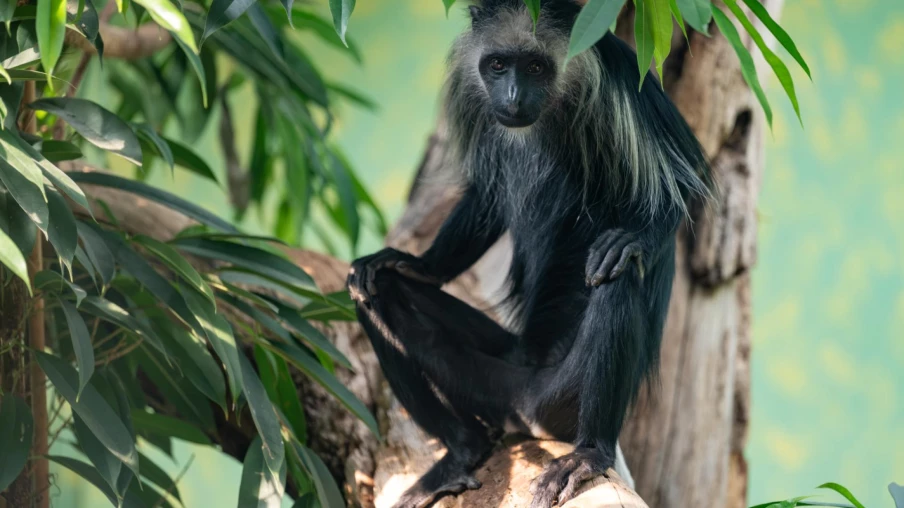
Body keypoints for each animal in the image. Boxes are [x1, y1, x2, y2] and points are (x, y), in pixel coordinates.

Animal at [346, 1, 712, 506]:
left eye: (536, 67)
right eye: (499, 66)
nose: (514, 96)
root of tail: (525, 404)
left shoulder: (622, 84)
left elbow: (679, 188)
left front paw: (632, 238)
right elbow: (486, 197)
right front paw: (417, 263)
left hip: (561, 398)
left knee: (617, 277)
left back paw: (588, 453)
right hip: (495, 379)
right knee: (374, 290)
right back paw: (462, 452)